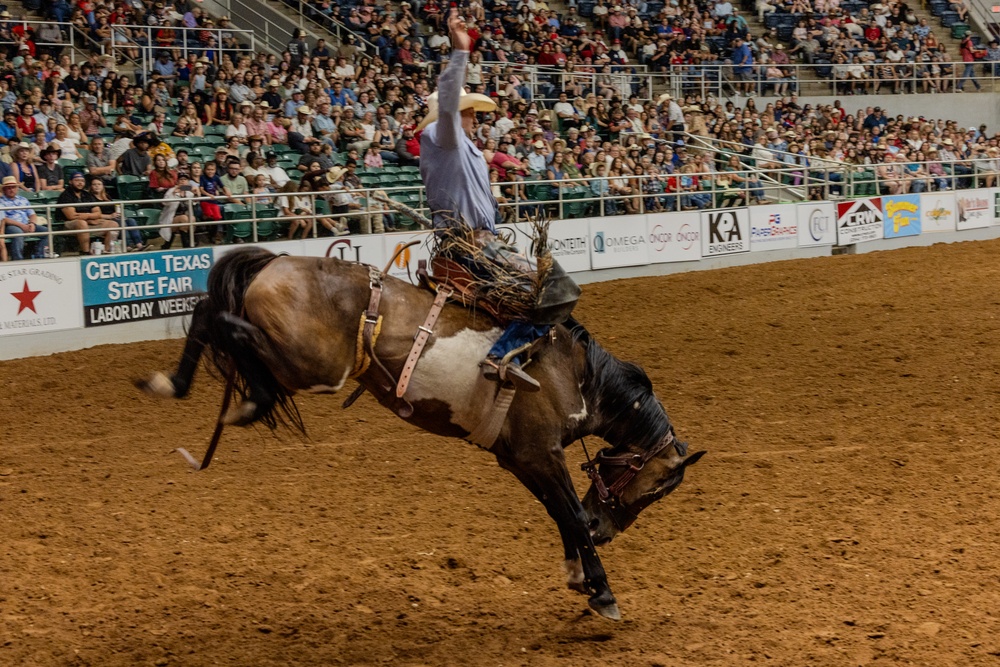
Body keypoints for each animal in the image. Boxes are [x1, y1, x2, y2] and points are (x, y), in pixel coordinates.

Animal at [137, 247, 708, 620]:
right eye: (656, 489)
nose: (606, 528)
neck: (576, 374)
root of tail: (276, 261)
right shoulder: (541, 454)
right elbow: (568, 510)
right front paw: (603, 591)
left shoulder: (521, 459)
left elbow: (560, 513)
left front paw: (579, 575)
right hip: (310, 363)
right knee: (225, 323)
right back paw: (249, 400)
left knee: (207, 312)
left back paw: (168, 383)